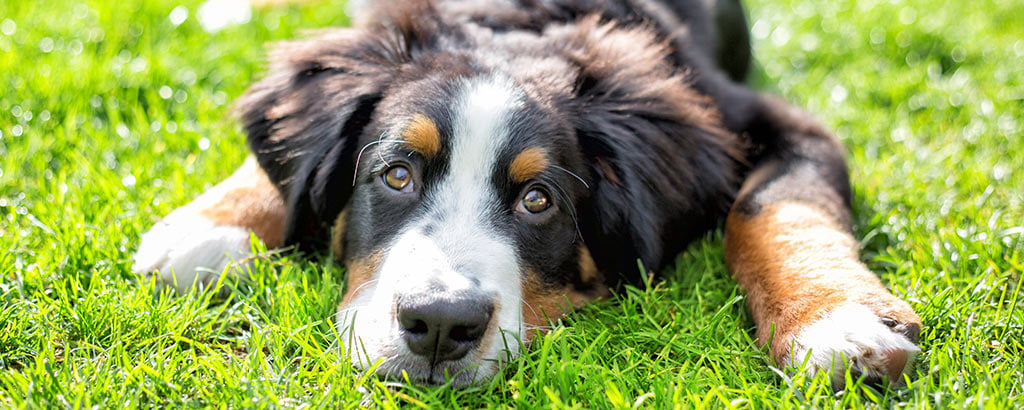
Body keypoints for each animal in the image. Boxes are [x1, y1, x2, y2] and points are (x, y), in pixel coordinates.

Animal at [132, 0, 925, 391]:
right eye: (396, 175)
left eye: (538, 200)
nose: (440, 326)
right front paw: (212, 222)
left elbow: (771, 207)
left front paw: (837, 321)